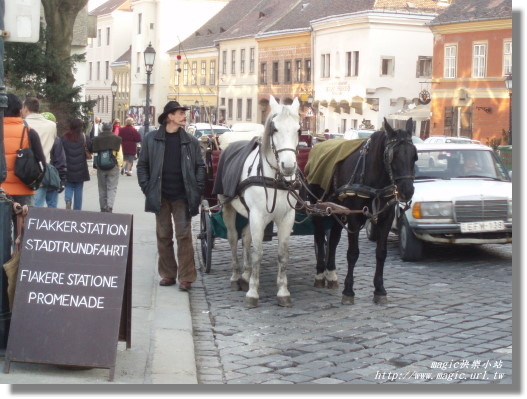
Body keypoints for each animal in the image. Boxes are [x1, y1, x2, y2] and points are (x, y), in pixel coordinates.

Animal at [219, 97, 302, 310]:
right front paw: (253, 293)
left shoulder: (286, 217)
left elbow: (282, 254)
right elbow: (258, 253)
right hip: (227, 206)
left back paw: (246, 274)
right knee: (233, 238)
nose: (289, 166)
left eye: (298, 129)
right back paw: (236, 276)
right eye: (274, 129)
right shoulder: (257, 216)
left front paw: (283, 291)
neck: (276, 179)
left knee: (246, 238)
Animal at [310, 117, 416, 304]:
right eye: (393, 156)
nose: (407, 191)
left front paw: (380, 289)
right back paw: (320, 273)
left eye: (414, 156)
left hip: (336, 211)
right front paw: (348, 291)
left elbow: (381, 253)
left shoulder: (386, 217)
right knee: (319, 236)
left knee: (333, 240)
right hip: (317, 208)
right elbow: (353, 253)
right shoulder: (354, 218)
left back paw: (331, 274)